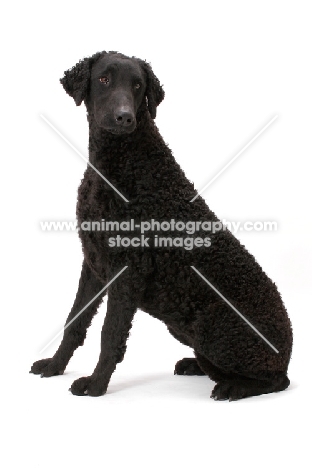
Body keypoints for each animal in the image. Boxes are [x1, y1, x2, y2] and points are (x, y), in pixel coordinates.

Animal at [29, 52, 292, 402]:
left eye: (138, 85)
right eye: (103, 79)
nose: (125, 118)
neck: (120, 165)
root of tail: (289, 349)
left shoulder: (129, 270)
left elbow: (110, 334)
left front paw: (95, 386)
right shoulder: (93, 261)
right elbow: (75, 320)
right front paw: (55, 366)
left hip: (214, 327)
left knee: (276, 380)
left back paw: (232, 387)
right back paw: (194, 365)